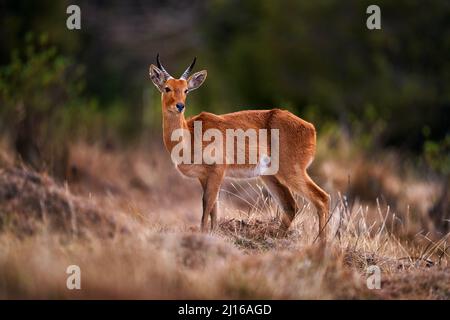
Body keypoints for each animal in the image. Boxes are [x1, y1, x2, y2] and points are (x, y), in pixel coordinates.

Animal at [149, 54, 328, 240]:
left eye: (186, 90)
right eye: (167, 88)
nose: (180, 106)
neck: (190, 135)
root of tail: (311, 127)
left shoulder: (217, 170)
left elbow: (207, 205)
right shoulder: (203, 176)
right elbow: (213, 209)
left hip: (291, 171)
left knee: (322, 198)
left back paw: (321, 244)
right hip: (270, 176)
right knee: (291, 205)